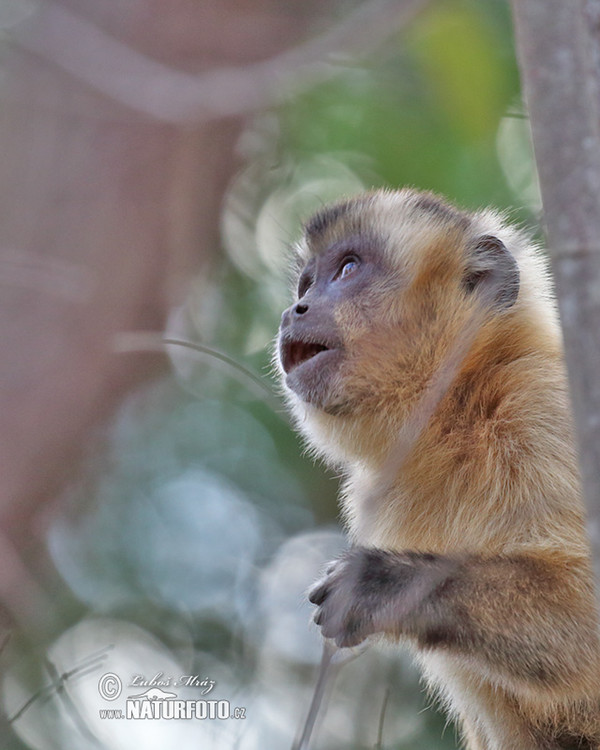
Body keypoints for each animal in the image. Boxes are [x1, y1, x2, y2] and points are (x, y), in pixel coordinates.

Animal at [276, 189, 600, 750]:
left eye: (347, 268)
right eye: (307, 284)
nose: (294, 310)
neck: (460, 408)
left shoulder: (543, 403)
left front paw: (384, 584)